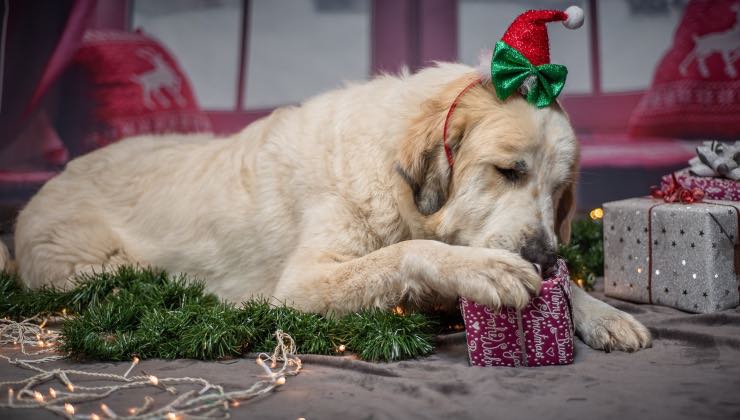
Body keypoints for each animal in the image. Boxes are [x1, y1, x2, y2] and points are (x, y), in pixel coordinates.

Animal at [1, 61, 648, 352]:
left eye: (558, 193)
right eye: (508, 171)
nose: (543, 257)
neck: (396, 179)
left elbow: (567, 286)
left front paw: (599, 311)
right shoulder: (302, 285)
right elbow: (409, 252)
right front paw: (483, 270)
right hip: (96, 267)